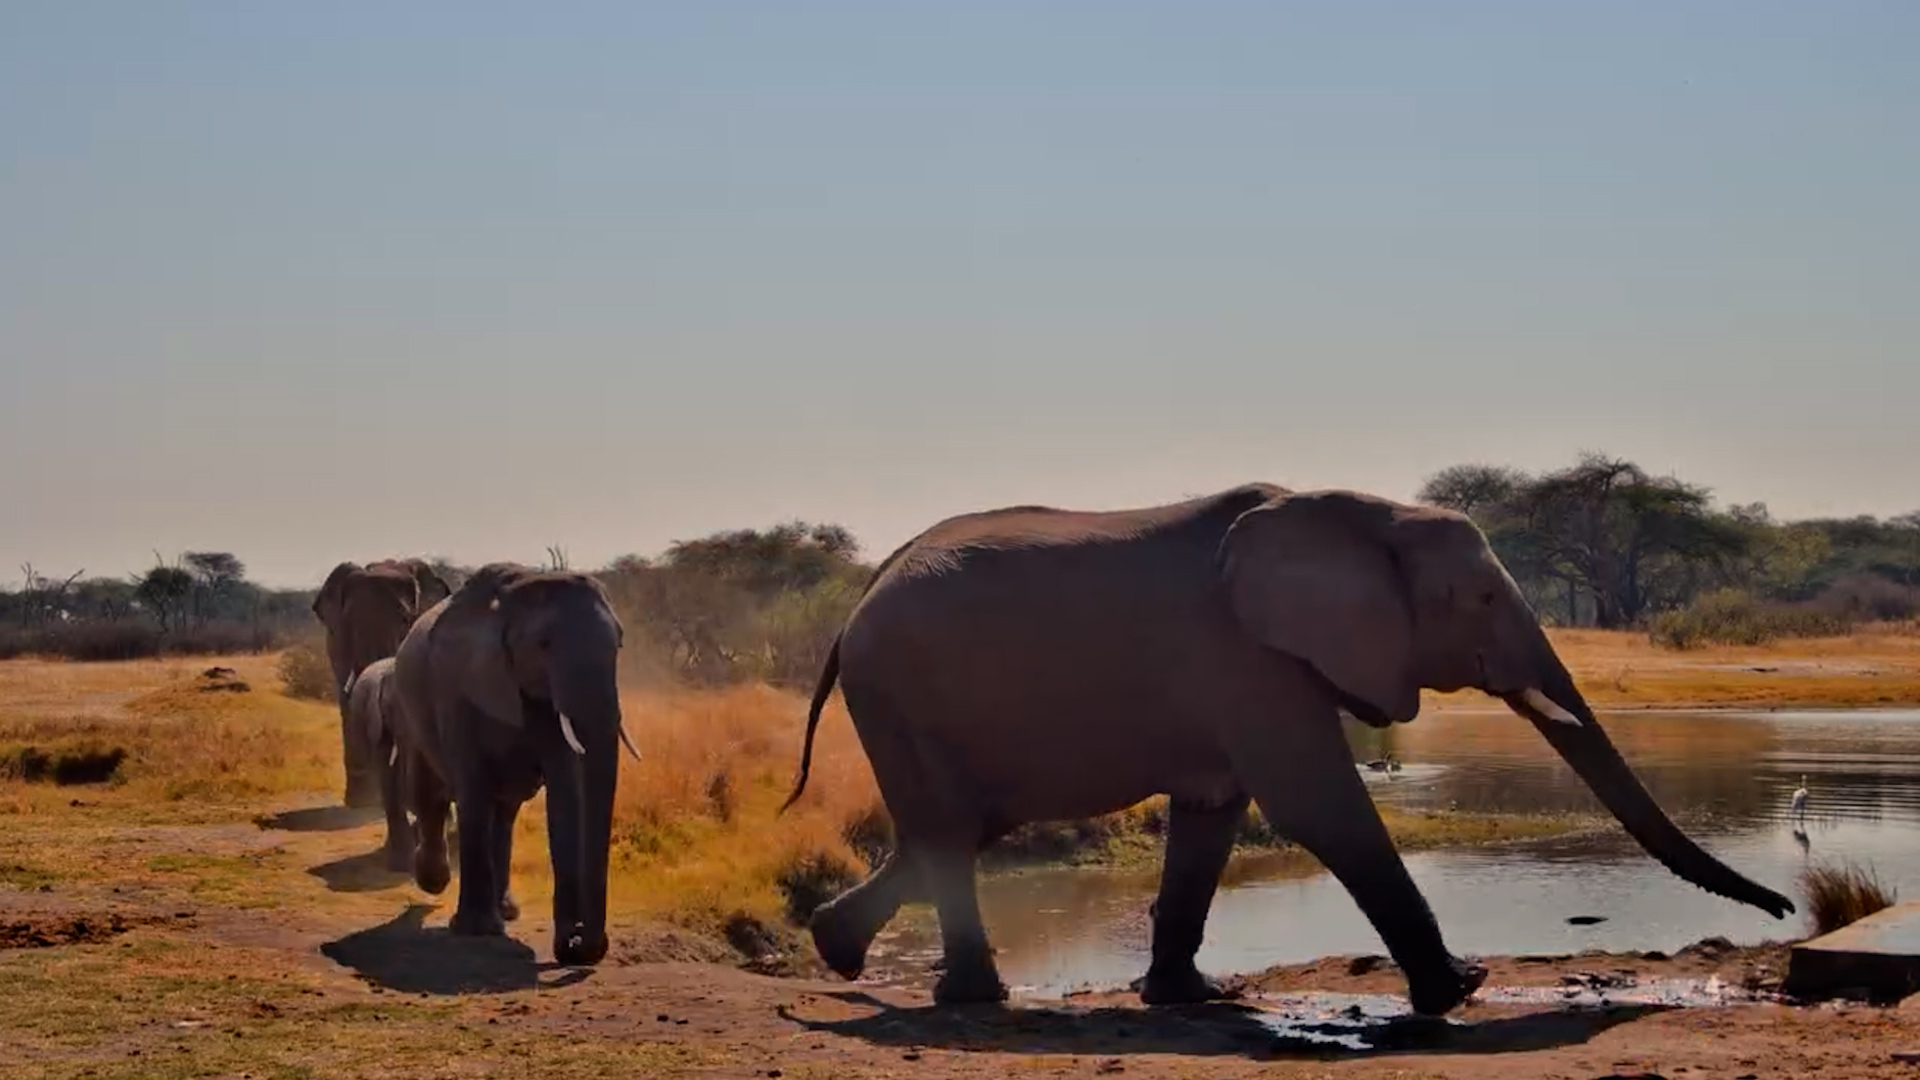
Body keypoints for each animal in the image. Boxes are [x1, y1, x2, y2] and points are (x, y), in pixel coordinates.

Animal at [390, 562, 640, 964]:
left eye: (618, 645)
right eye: (544, 645)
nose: (577, 943)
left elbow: (564, 791)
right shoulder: (457, 686)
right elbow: (471, 785)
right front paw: (475, 930)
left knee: (504, 812)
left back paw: (505, 910)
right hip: (408, 708)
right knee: (428, 793)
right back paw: (435, 881)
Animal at [779, 483, 1794, 1015]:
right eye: (1481, 600)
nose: (1787, 910)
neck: (1362, 512)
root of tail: (854, 607)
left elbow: (1213, 814)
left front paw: (1191, 997)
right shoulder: (1245, 661)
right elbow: (1317, 805)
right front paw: (1458, 991)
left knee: (954, 832)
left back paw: (840, 953)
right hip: (897, 688)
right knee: (952, 834)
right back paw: (971, 1001)